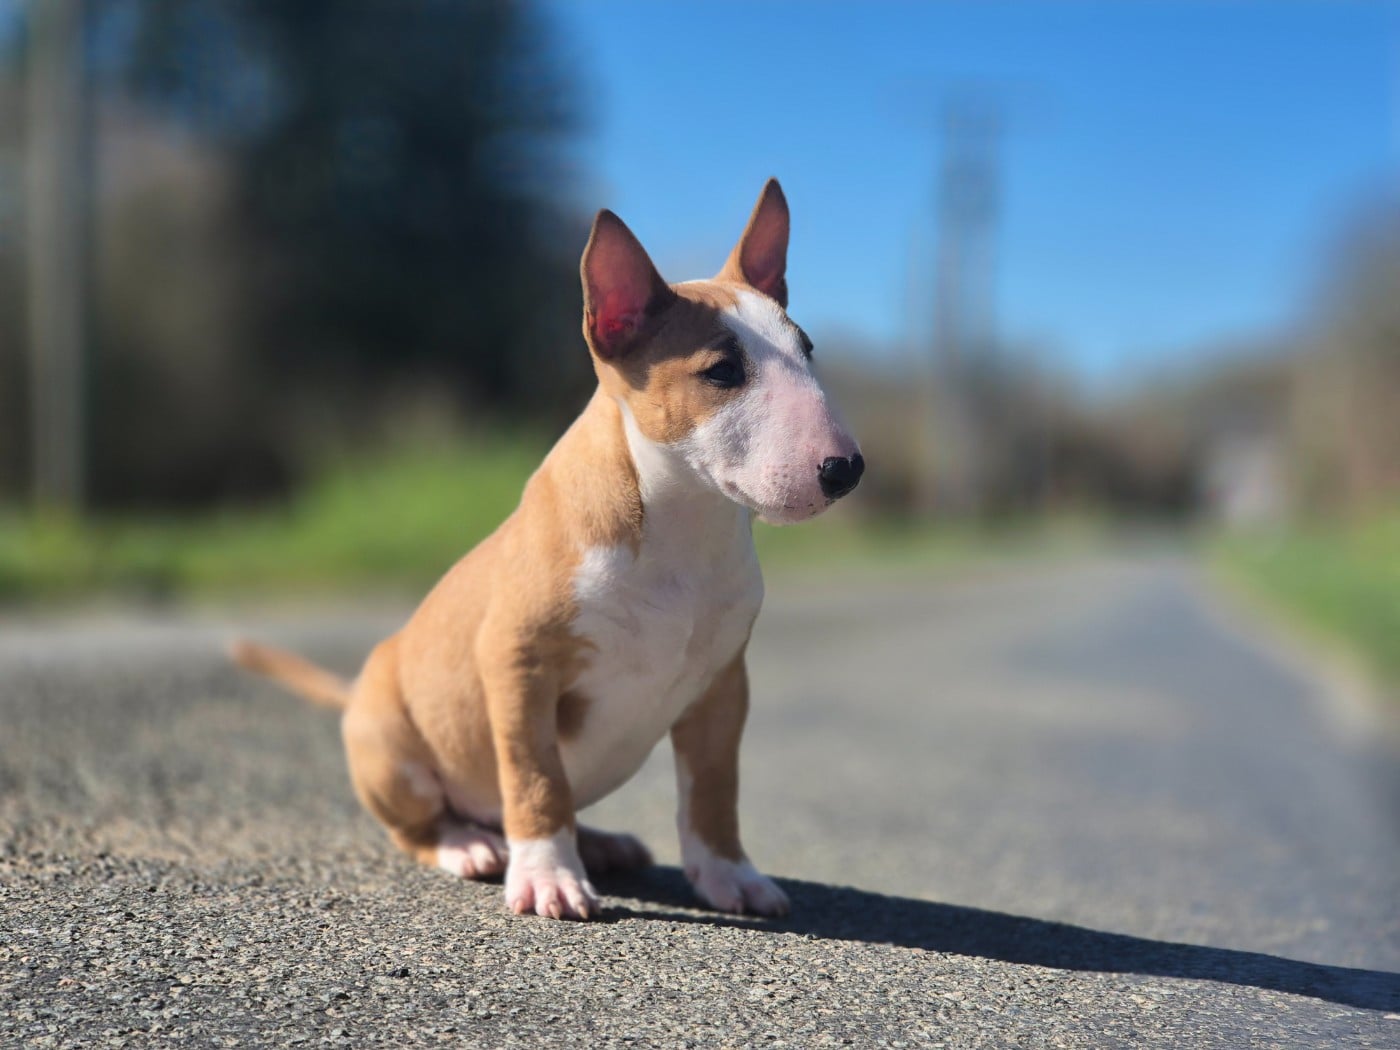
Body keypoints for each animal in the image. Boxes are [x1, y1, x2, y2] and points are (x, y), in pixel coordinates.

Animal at [232, 179, 863, 920]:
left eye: (809, 349)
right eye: (722, 372)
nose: (845, 470)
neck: (681, 525)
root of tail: (355, 691)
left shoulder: (722, 687)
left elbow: (712, 787)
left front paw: (730, 875)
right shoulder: (518, 661)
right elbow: (535, 776)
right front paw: (547, 878)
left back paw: (601, 843)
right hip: (392, 746)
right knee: (423, 824)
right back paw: (471, 846)